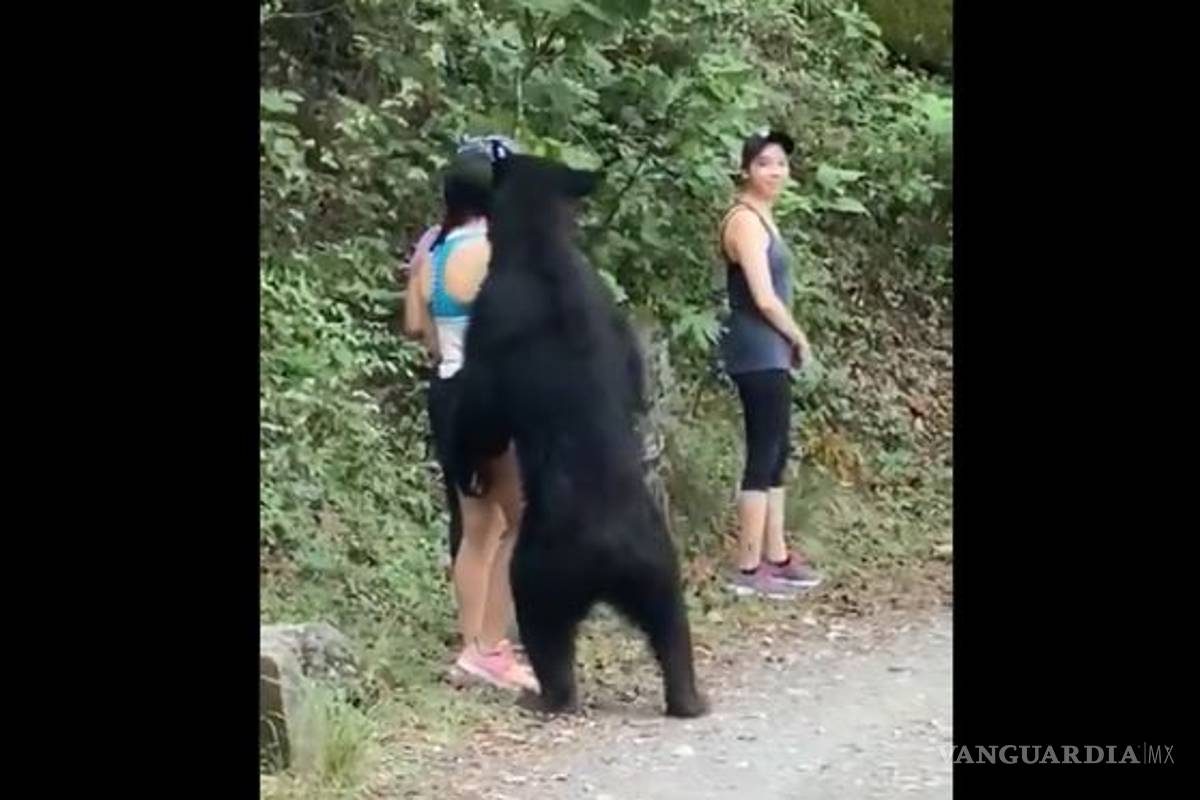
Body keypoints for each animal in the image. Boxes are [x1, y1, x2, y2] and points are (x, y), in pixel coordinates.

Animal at [449, 150, 708, 719]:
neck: (540, 244)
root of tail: (608, 552)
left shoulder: (491, 313)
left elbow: (481, 411)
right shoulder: (610, 310)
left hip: (541, 567)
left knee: (545, 629)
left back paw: (548, 696)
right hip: (657, 562)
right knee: (672, 625)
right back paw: (689, 697)